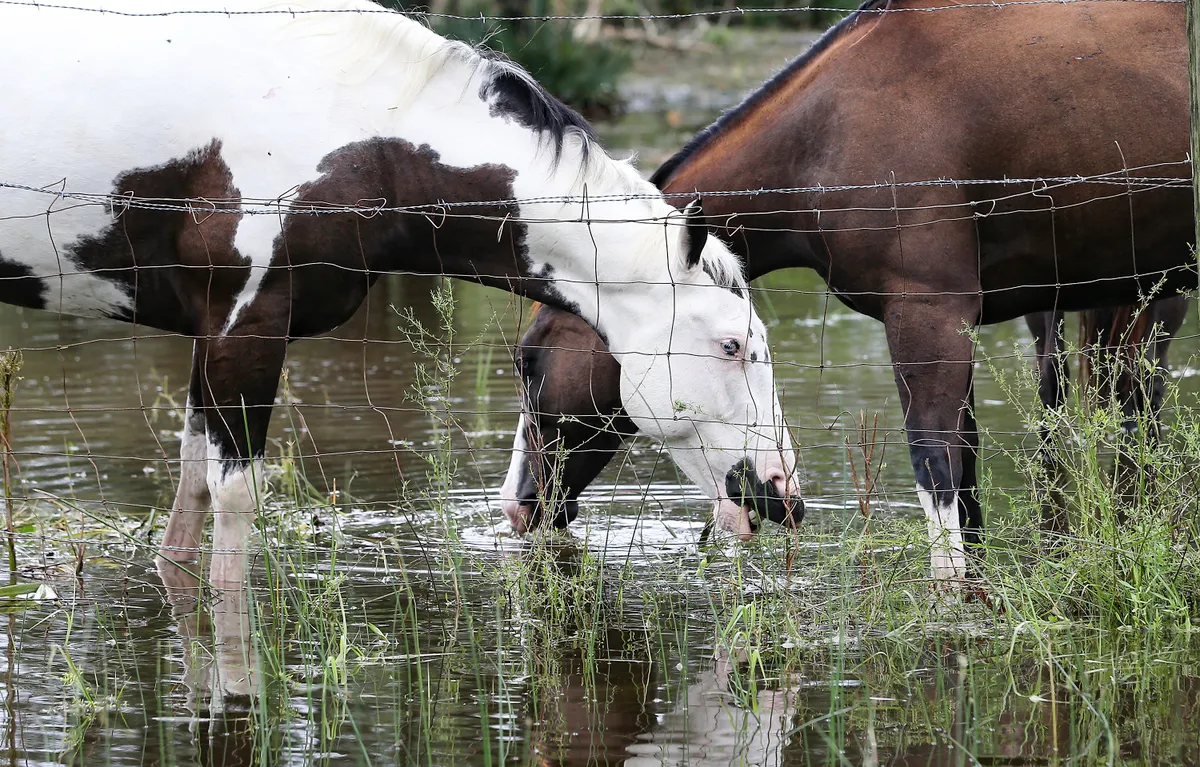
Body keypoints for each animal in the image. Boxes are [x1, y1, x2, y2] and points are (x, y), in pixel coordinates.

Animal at [4, 0, 801, 588]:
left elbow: (186, 516)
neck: (360, 134)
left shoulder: (214, 339)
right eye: (733, 346)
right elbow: (231, 522)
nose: (782, 493)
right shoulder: (244, 332)